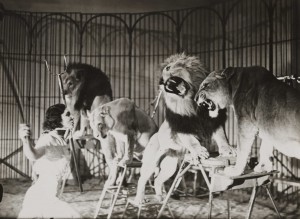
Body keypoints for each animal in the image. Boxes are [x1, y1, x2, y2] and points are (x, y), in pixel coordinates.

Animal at [134, 53, 237, 204]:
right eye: (163, 81)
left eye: (168, 68)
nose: (165, 83)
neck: (191, 100)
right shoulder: (182, 126)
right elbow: (191, 141)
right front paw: (199, 151)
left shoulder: (214, 121)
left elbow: (222, 137)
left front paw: (228, 149)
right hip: (151, 162)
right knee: (142, 179)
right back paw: (140, 199)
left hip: (170, 165)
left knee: (158, 180)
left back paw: (161, 197)